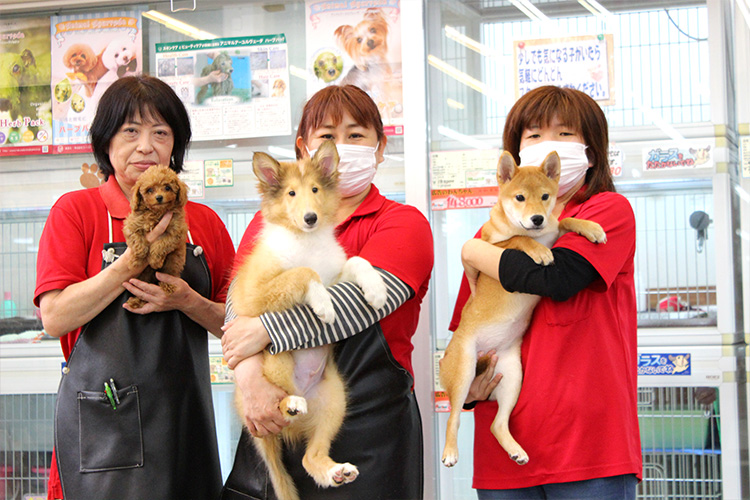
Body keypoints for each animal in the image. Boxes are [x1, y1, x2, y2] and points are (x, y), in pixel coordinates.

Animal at [232, 141, 388, 500]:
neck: (308, 240)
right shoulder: (255, 294)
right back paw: (289, 404)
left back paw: (335, 471)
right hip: (274, 361)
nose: (310, 218)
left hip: (336, 400)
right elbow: (303, 272)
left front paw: (375, 289)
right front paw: (324, 305)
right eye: (291, 193)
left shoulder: (336, 275)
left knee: (308, 457)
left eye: (315, 189)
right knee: (276, 403)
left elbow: (357, 261)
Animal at [444, 150, 608, 466]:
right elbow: (517, 239)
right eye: (519, 197)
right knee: (454, 417)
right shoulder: (498, 245)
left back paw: (516, 450)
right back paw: (450, 452)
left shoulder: (554, 231)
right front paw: (539, 251)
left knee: (498, 424)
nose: (537, 218)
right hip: (463, 370)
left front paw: (590, 227)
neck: (537, 235)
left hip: (512, 377)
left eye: (545, 196)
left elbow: (565, 220)